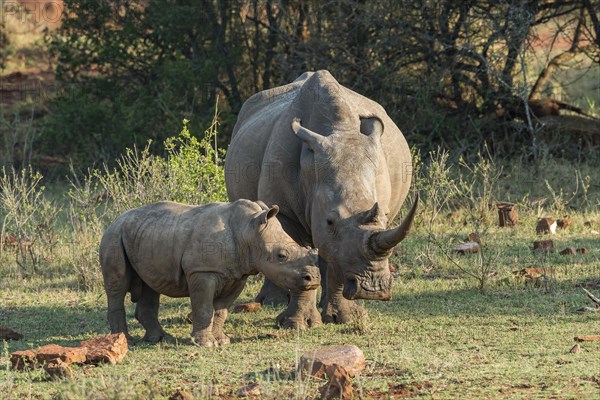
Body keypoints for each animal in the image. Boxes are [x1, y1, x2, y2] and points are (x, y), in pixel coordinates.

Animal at [101, 200, 322, 346]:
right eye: (281, 255)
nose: (314, 278)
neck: (248, 230)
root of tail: (116, 219)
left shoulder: (238, 274)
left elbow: (221, 311)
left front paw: (222, 341)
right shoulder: (202, 271)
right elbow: (205, 308)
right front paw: (205, 344)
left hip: (147, 236)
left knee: (150, 286)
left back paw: (161, 339)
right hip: (113, 236)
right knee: (117, 287)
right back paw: (125, 341)